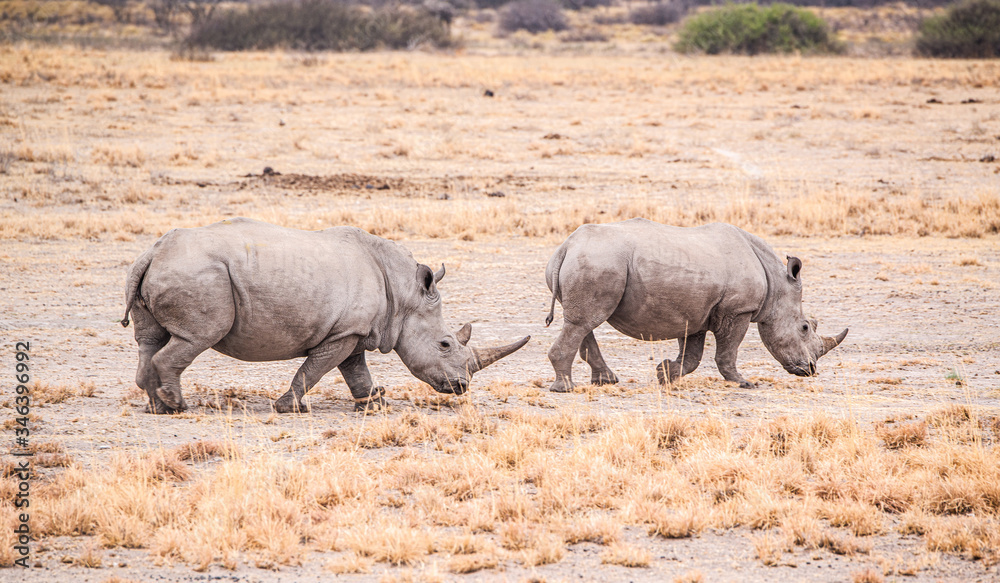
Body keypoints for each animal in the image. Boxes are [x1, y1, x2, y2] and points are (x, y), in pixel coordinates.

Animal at [122, 218, 529, 414]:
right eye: (445, 344)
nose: (461, 387)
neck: (404, 294)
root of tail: (152, 253)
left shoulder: (354, 331)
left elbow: (355, 370)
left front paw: (374, 404)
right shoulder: (343, 332)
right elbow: (316, 369)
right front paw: (289, 408)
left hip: (171, 269)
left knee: (149, 340)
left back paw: (157, 407)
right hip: (200, 275)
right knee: (196, 338)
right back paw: (177, 406)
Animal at [544, 219, 847, 392]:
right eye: (805, 327)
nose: (810, 370)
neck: (776, 283)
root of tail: (566, 247)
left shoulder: (697, 311)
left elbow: (692, 355)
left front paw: (665, 374)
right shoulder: (738, 310)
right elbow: (727, 351)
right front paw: (744, 383)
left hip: (593, 261)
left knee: (583, 322)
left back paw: (606, 381)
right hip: (599, 260)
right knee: (584, 322)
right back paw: (565, 389)